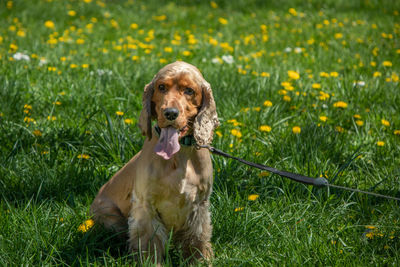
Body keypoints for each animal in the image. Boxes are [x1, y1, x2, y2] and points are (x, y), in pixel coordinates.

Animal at [90, 61, 219, 264]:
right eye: (162, 87)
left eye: (189, 90)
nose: (170, 113)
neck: (178, 157)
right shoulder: (145, 207)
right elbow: (149, 244)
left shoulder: (199, 206)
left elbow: (197, 240)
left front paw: (201, 261)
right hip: (110, 218)